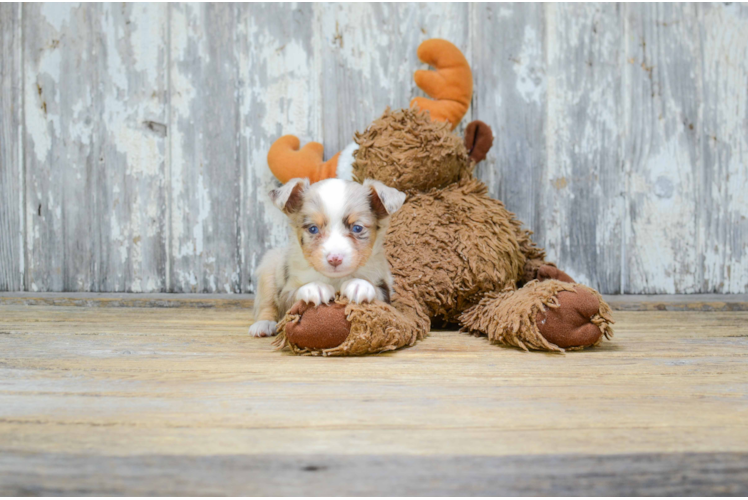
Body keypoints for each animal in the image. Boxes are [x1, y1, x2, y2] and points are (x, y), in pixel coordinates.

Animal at [247, 178, 404, 338]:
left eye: (357, 228)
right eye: (313, 229)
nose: (335, 259)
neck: (335, 279)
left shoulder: (384, 290)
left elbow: (377, 293)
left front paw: (359, 285)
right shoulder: (287, 290)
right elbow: (294, 294)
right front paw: (315, 288)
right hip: (270, 265)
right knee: (266, 302)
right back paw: (264, 324)